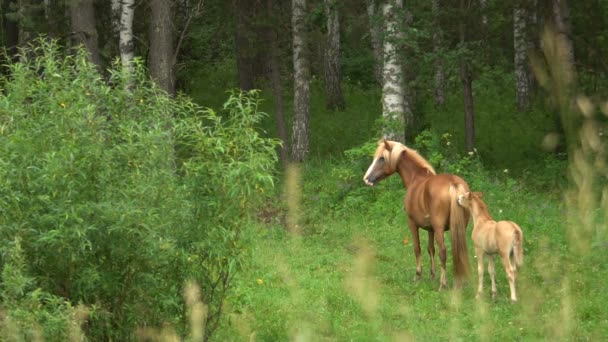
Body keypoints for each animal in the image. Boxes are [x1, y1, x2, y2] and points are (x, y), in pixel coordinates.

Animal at [360, 138, 470, 288]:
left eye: (382, 158)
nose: (367, 178)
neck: (416, 178)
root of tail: (453, 183)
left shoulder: (412, 224)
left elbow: (417, 248)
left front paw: (418, 275)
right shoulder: (430, 229)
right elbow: (430, 249)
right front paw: (432, 275)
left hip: (440, 228)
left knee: (443, 251)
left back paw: (443, 283)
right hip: (459, 227)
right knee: (459, 251)